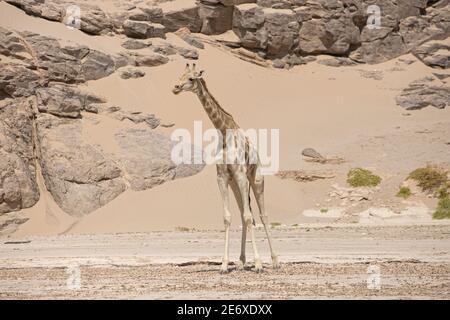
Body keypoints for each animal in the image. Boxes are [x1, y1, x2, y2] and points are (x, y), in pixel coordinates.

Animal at [171, 63, 278, 274]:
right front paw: (224, 264)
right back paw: (242, 261)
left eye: (191, 78)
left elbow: (249, 217)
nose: (175, 87)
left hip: (255, 180)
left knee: (262, 215)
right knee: (245, 214)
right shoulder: (222, 177)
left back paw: (274, 261)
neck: (224, 131)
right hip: (236, 185)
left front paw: (258, 264)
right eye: (181, 74)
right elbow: (229, 217)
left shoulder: (241, 176)